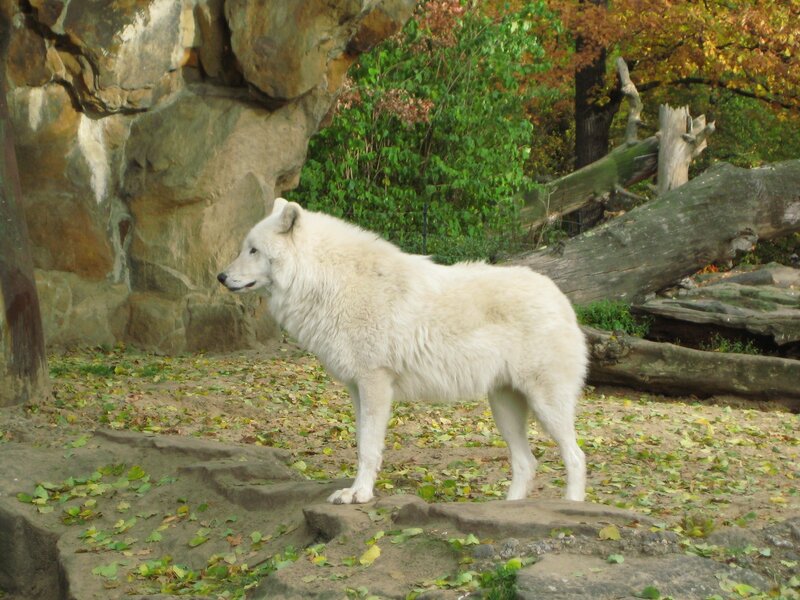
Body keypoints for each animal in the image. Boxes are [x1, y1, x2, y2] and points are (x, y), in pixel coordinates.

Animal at [218, 198, 588, 505]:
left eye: (253, 250)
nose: (221, 276)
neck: (330, 282)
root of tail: (562, 298)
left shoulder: (375, 384)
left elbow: (368, 449)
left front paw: (359, 494)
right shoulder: (357, 389)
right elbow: (362, 444)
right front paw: (356, 490)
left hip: (545, 404)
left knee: (576, 456)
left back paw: (571, 506)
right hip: (504, 407)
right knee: (527, 462)